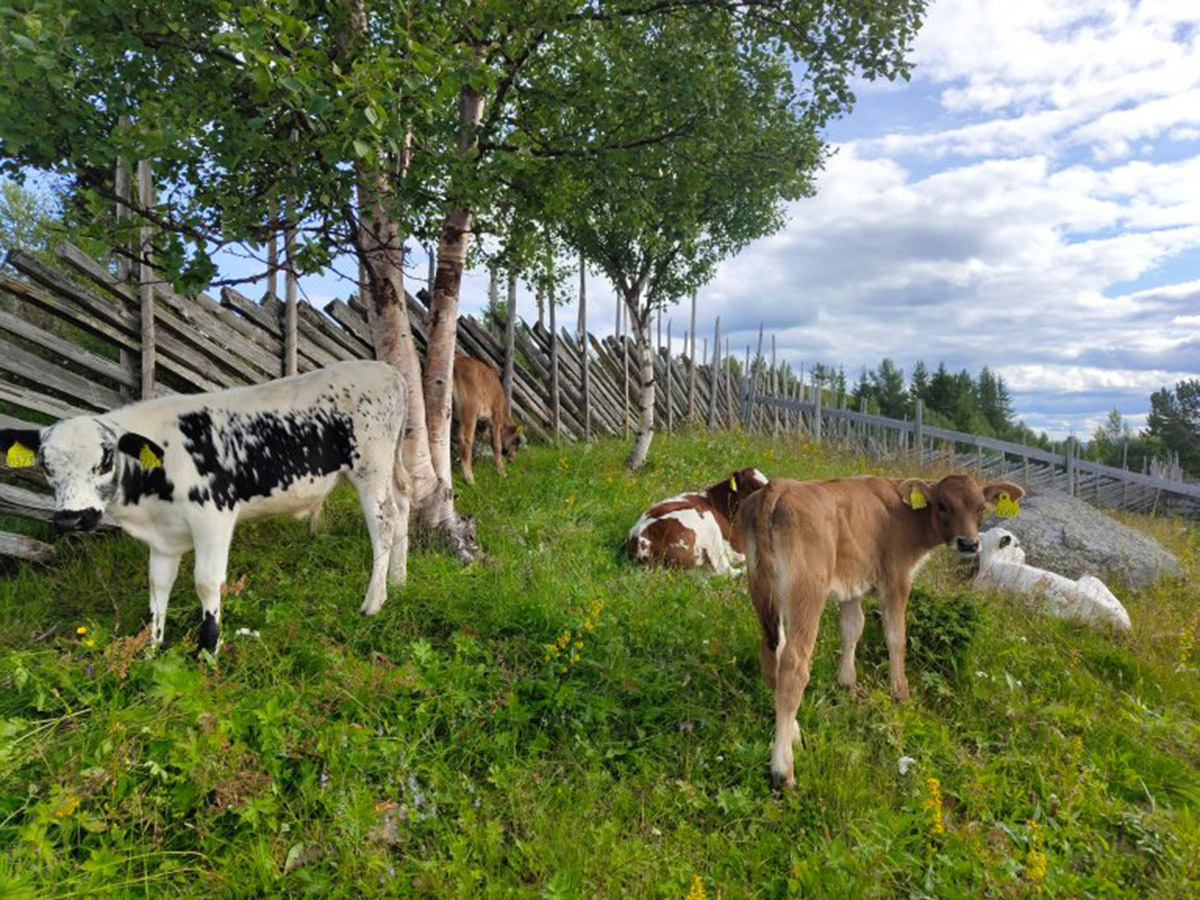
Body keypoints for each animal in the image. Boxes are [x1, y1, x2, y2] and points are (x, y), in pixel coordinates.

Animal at [0, 360, 411, 655]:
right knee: (404, 504)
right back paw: (399, 580)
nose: (71, 518)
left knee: (384, 522)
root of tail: (389, 370)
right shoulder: (163, 536)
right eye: (45, 465)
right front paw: (153, 647)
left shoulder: (213, 517)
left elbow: (206, 582)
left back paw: (374, 601)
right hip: (389, 466)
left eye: (104, 460)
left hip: (370, 467)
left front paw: (209, 648)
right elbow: (158, 584)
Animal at [452, 355, 523, 485]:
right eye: (516, 441)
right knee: (465, 439)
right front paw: (501, 471)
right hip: (469, 409)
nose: (513, 459)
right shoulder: (495, 417)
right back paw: (469, 478)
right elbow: (496, 445)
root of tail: (458, 359)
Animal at [734, 473, 1024, 788]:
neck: (906, 515)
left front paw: (847, 684)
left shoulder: (851, 585)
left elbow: (852, 628)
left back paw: (793, 733)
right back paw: (783, 770)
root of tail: (778, 487)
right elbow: (896, 638)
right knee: (794, 666)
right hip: (807, 590)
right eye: (943, 505)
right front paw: (901, 697)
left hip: (762, 588)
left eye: (980, 507)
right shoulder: (897, 581)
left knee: (772, 653)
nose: (969, 543)